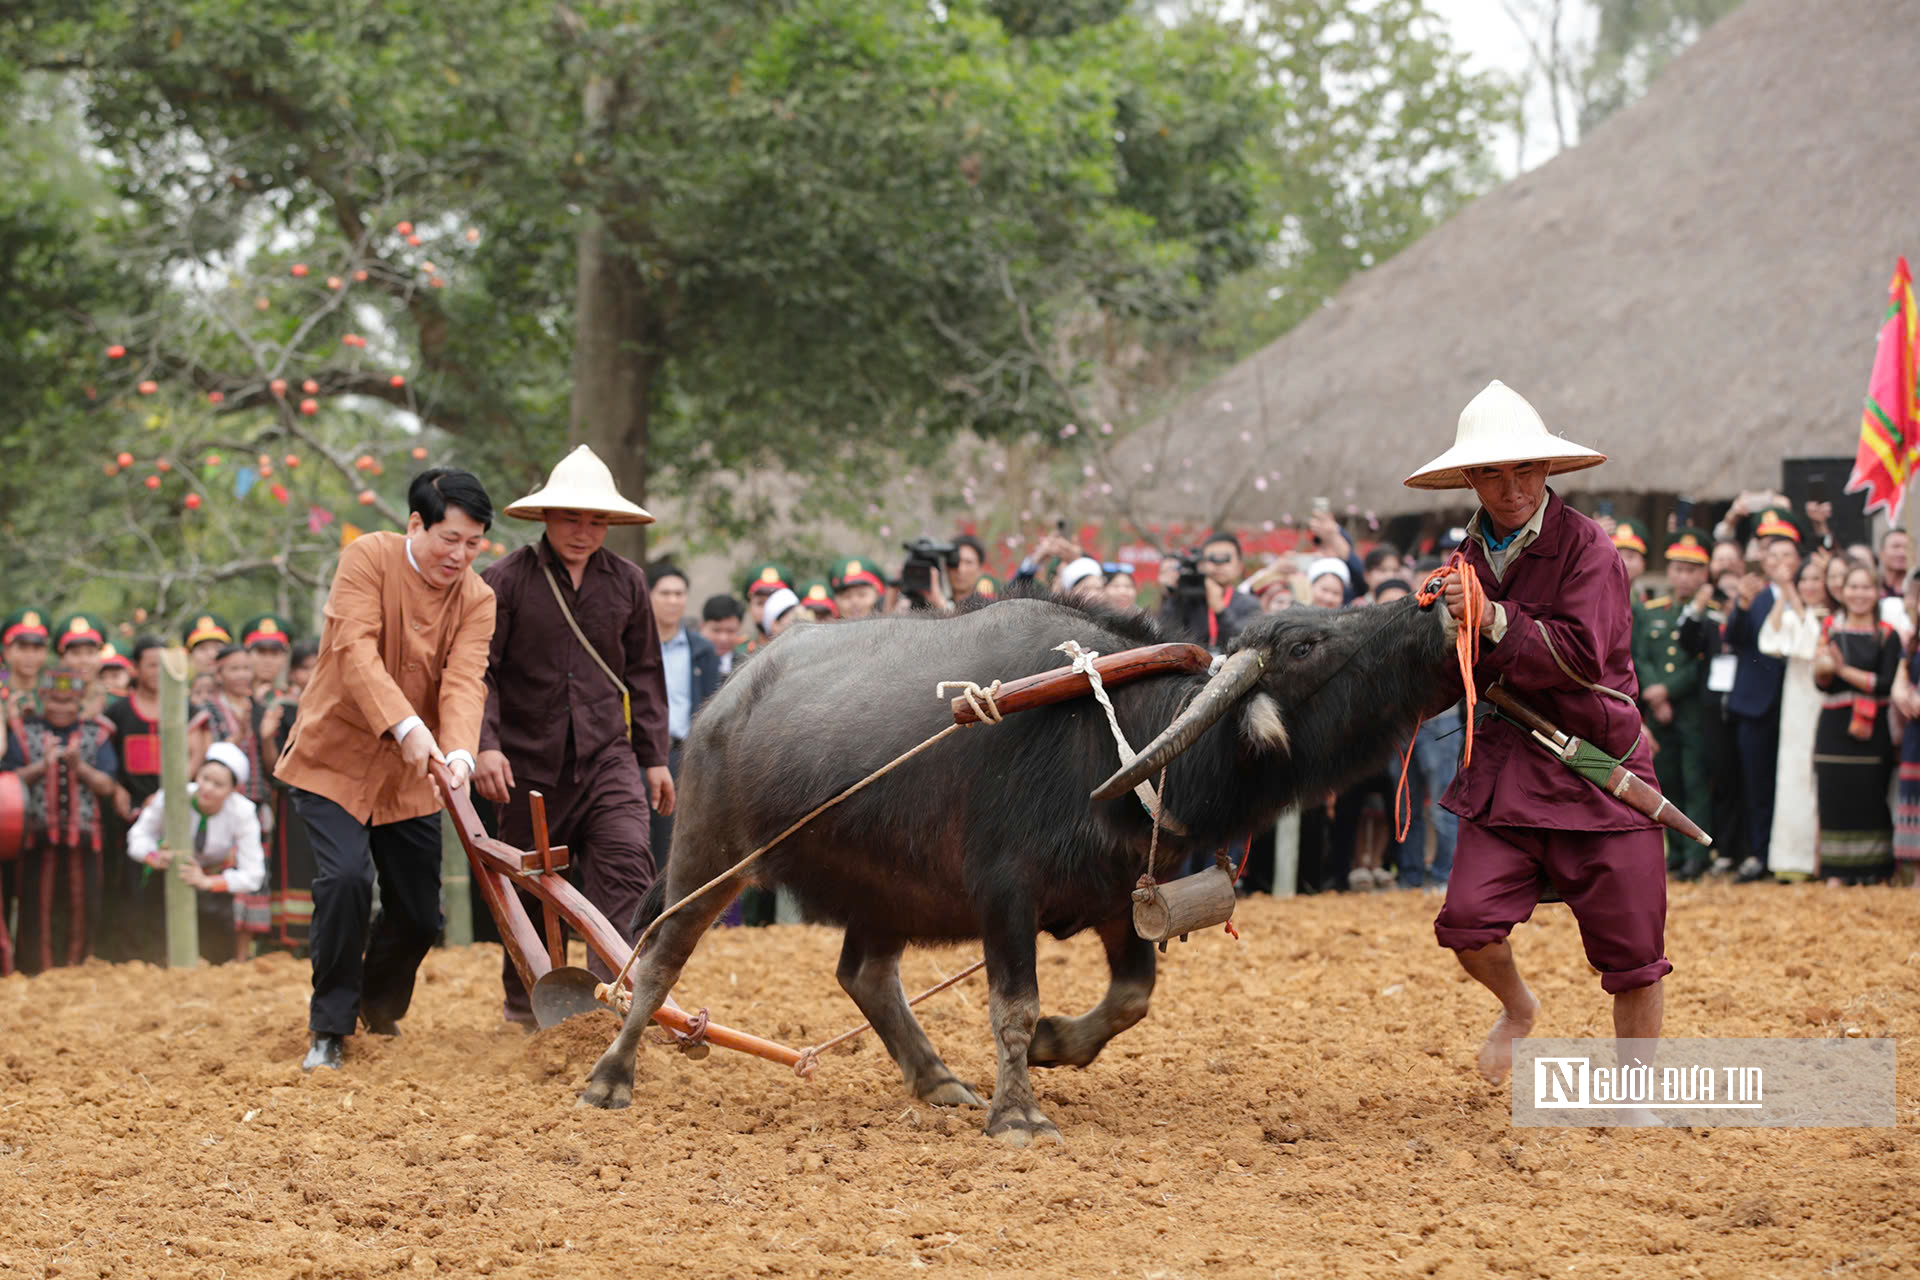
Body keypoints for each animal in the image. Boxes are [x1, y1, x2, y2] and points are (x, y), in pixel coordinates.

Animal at [579, 594, 1451, 1143]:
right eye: (1307, 645)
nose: (1434, 609)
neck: (1111, 734)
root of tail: (726, 702)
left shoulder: (1117, 899)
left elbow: (1132, 998)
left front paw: (1055, 1049)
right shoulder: (1006, 896)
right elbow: (1014, 1006)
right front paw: (1020, 1115)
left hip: (887, 891)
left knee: (865, 975)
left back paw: (937, 1080)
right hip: (708, 854)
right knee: (658, 964)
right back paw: (609, 1078)